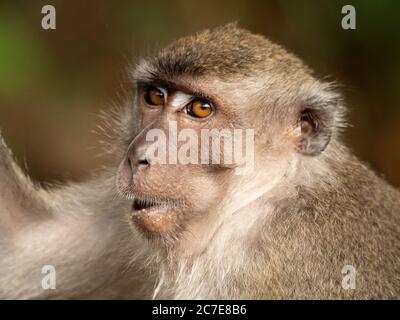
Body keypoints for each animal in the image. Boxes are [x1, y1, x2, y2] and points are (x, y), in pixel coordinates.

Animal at [0, 23, 400, 298]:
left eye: (200, 109)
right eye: (155, 96)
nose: (139, 156)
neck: (255, 200)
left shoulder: (277, 264)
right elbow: (23, 241)